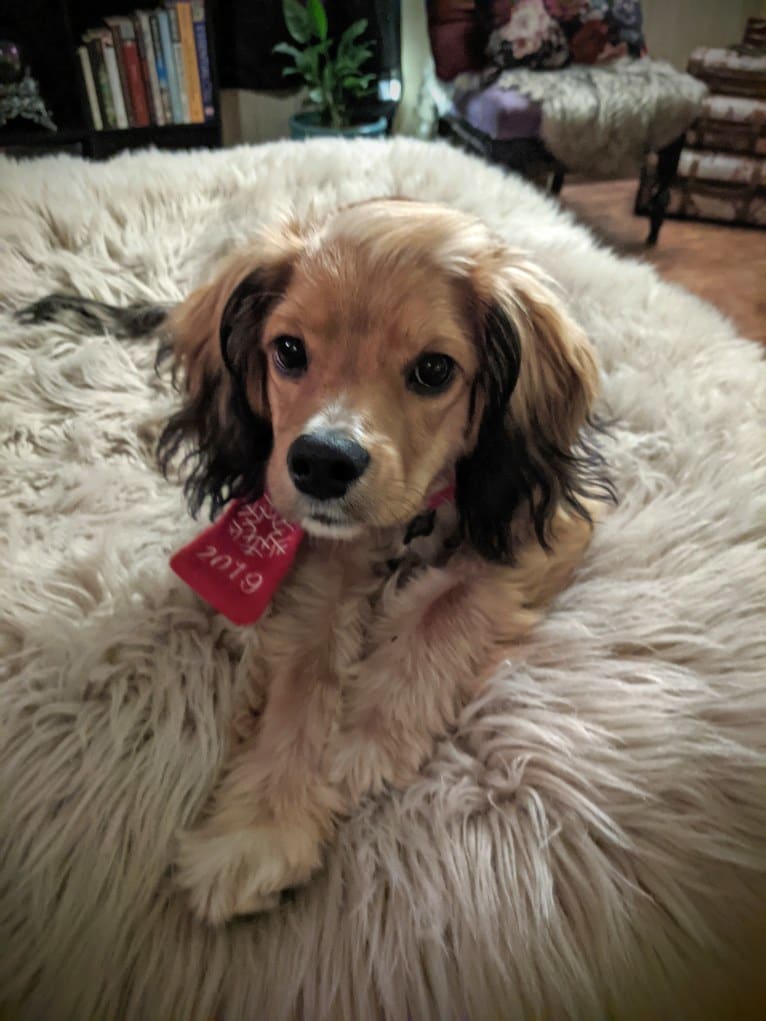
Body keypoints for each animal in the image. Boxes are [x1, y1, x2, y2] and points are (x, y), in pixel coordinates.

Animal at [18, 199, 612, 927]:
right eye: (289, 351)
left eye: (435, 370)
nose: (322, 463)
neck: (404, 526)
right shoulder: (316, 555)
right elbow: (303, 676)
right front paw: (262, 822)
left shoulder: (542, 524)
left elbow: (445, 607)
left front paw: (366, 737)